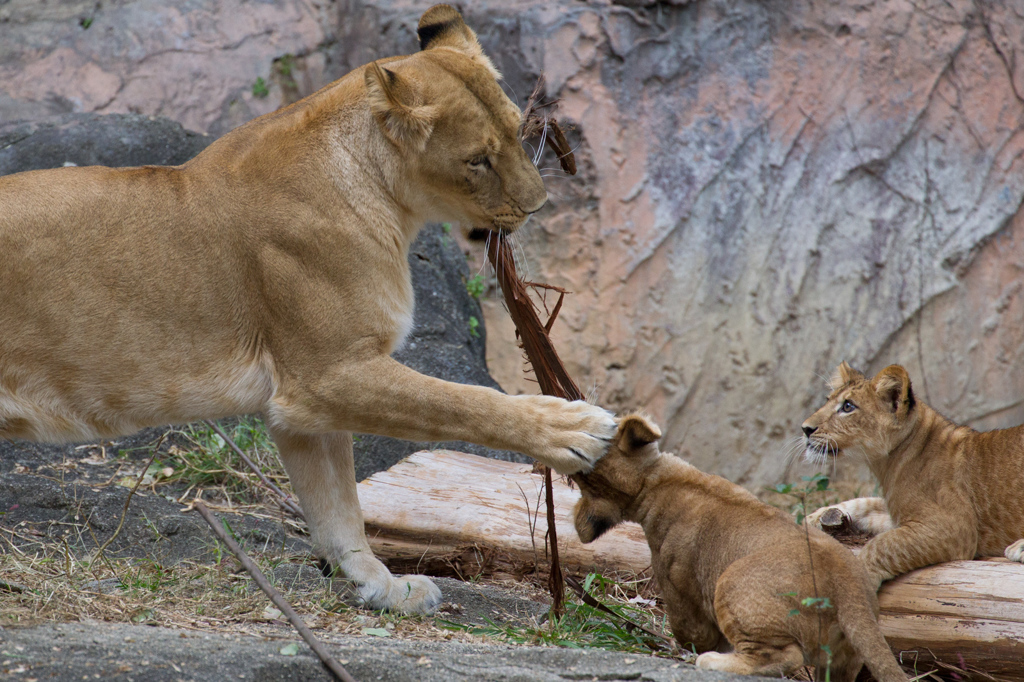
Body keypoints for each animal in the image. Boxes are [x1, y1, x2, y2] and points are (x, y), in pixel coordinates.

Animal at [0, 3, 610, 610]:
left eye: (517, 131)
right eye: (477, 160)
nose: (538, 206)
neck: (387, 196)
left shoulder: (298, 407)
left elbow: (337, 505)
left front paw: (381, 586)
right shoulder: (326, 374)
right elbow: (460, 402)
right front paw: (573, 430)